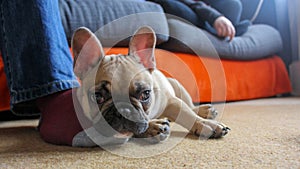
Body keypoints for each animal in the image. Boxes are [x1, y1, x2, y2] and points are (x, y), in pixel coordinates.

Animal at [71, 26, 230, 147]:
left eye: (145, 94)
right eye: (97, 97)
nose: (123, 111)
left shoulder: (171, 101)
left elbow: (187, 114)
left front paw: (206, 125)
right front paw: (154, 128)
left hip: (178, 86)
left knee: (190, 106)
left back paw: (204, 110)